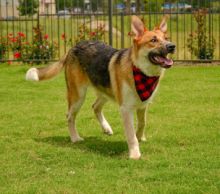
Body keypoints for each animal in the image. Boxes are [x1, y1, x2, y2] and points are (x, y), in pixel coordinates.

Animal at [26, 15, 175, 159]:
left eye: (166, 38)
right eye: (153, 40)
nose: (172, 46)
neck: (141, 71)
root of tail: (73, 47)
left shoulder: (143, 104)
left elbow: (142, 123)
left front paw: (140, 137)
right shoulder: (125, 109)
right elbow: (131, 135)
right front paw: (134, 154)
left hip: (105, 92)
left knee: (95, 107)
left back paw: (106, 128)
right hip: (78, 96)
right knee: (70, 116)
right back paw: (75, 138)